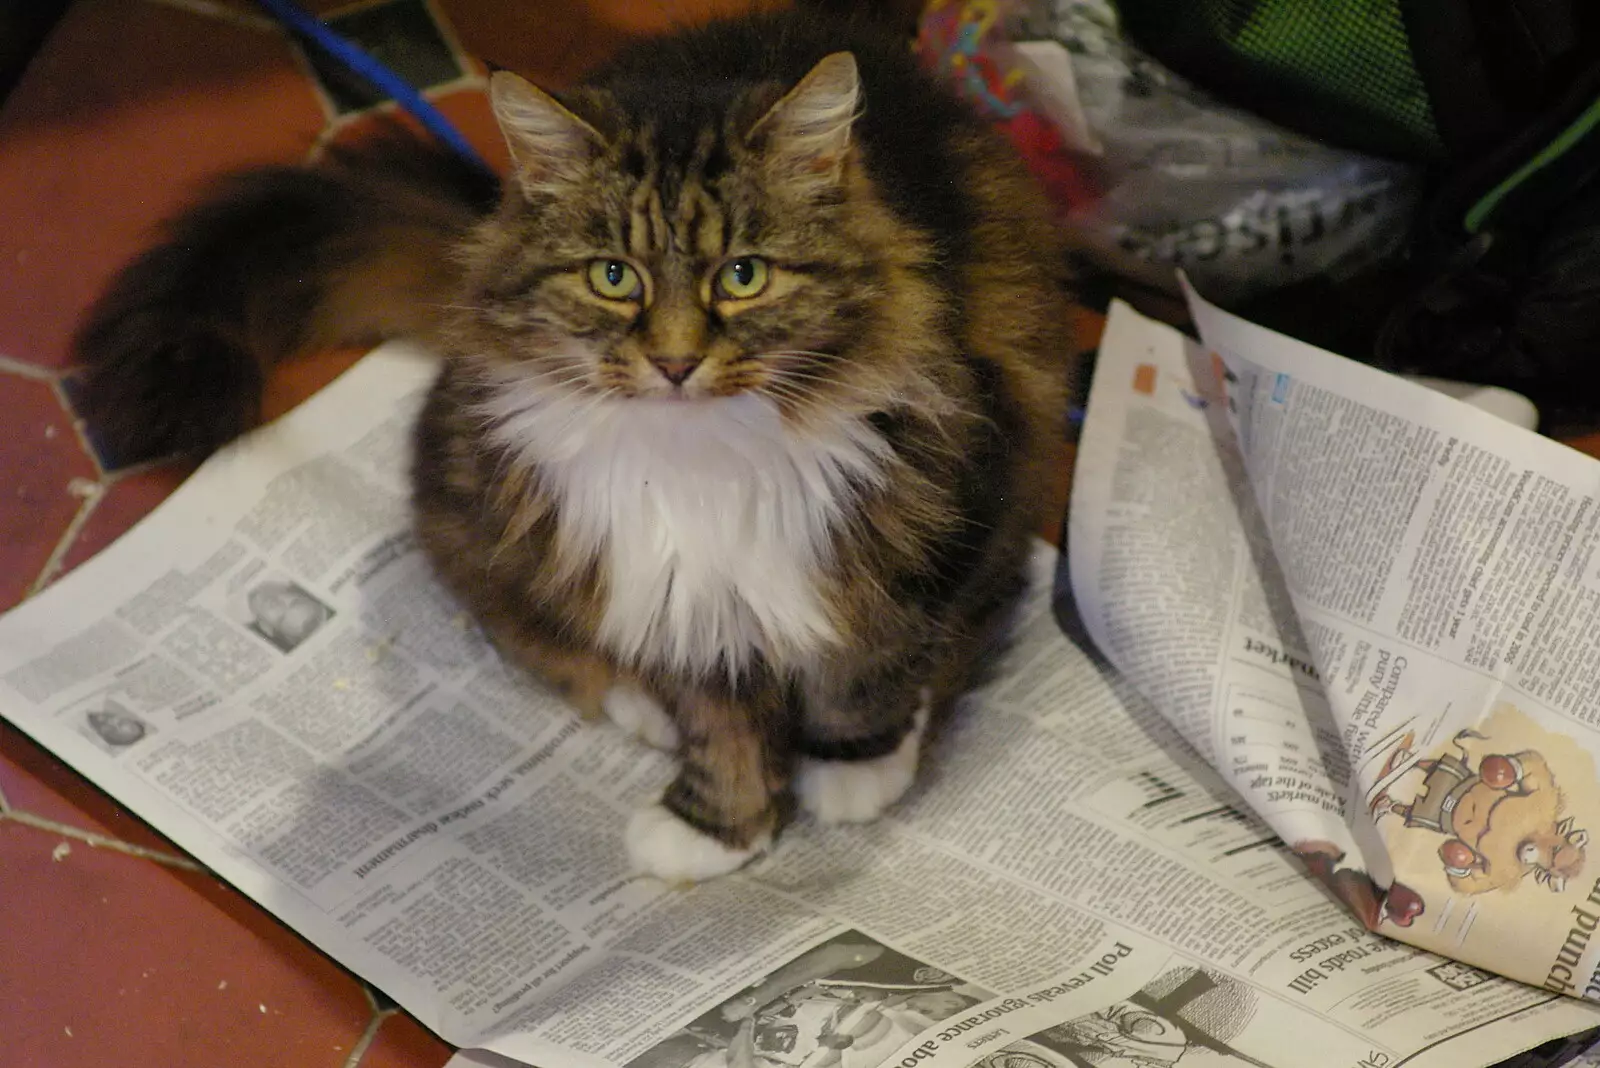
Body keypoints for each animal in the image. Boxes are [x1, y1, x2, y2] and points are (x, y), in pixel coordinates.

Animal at [75, 4, 1075, 882]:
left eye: (742, 276)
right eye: (614, 277)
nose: (674, 362)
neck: (702, 459)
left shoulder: (933, 515)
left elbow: (867, 669)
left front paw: (853, 773)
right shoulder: (682, 594)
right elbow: (719, 723)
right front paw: (714, 828)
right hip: (477, 505)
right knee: (538, 634)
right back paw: (639, 704)